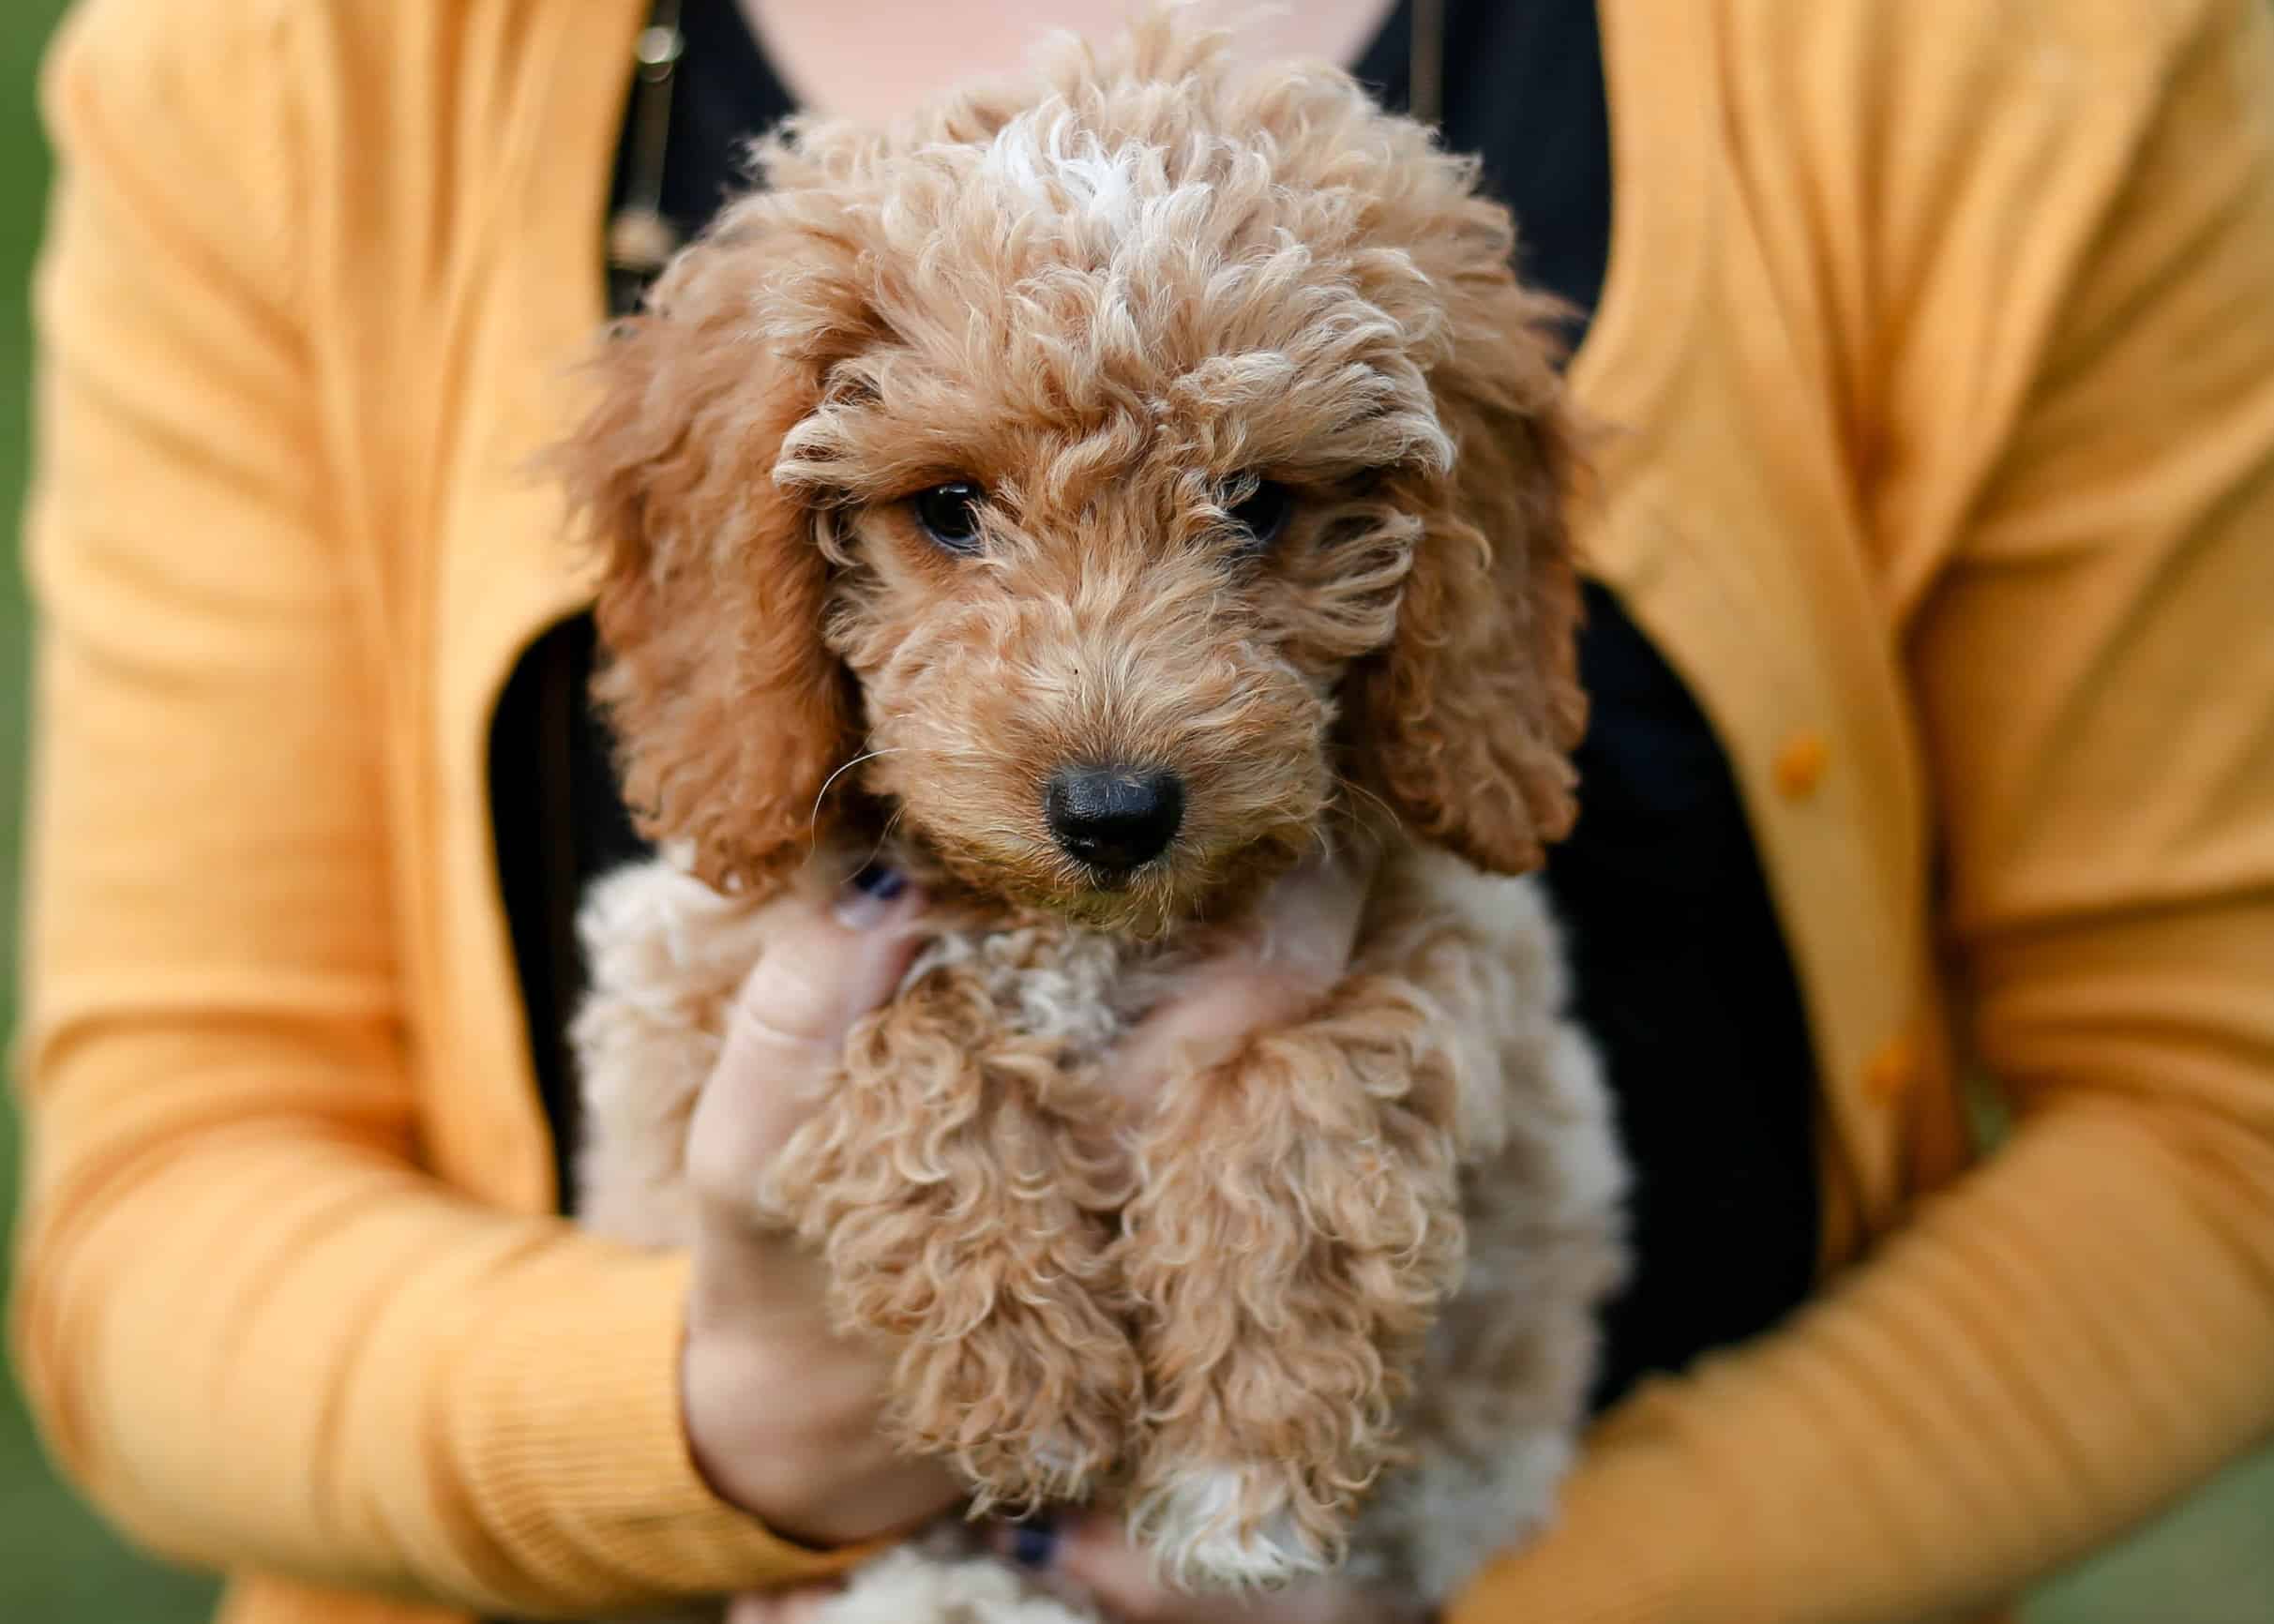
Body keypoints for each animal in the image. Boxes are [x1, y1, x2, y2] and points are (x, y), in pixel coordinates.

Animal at [559, 9, 1628, 1610]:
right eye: (947, 508)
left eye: (1259, 503)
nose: (1116, 812)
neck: (1084, 936)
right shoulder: (698, 988)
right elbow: (907, 1040)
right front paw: (1027, 1375)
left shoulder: (1460, 949)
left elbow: (1318, 1072)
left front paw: (1245, 1452)